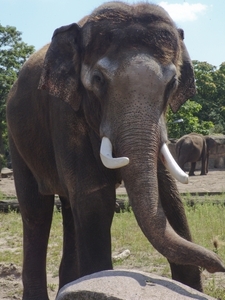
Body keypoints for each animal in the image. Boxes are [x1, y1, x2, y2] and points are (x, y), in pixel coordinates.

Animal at [6, 2, 224, 300]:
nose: (218, 263)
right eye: (98, 79)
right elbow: (96, 200)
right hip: (16, 137)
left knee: (69, 209)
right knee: (36, 211)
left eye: (172, 84)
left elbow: (169, 197)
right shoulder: (64, 113)